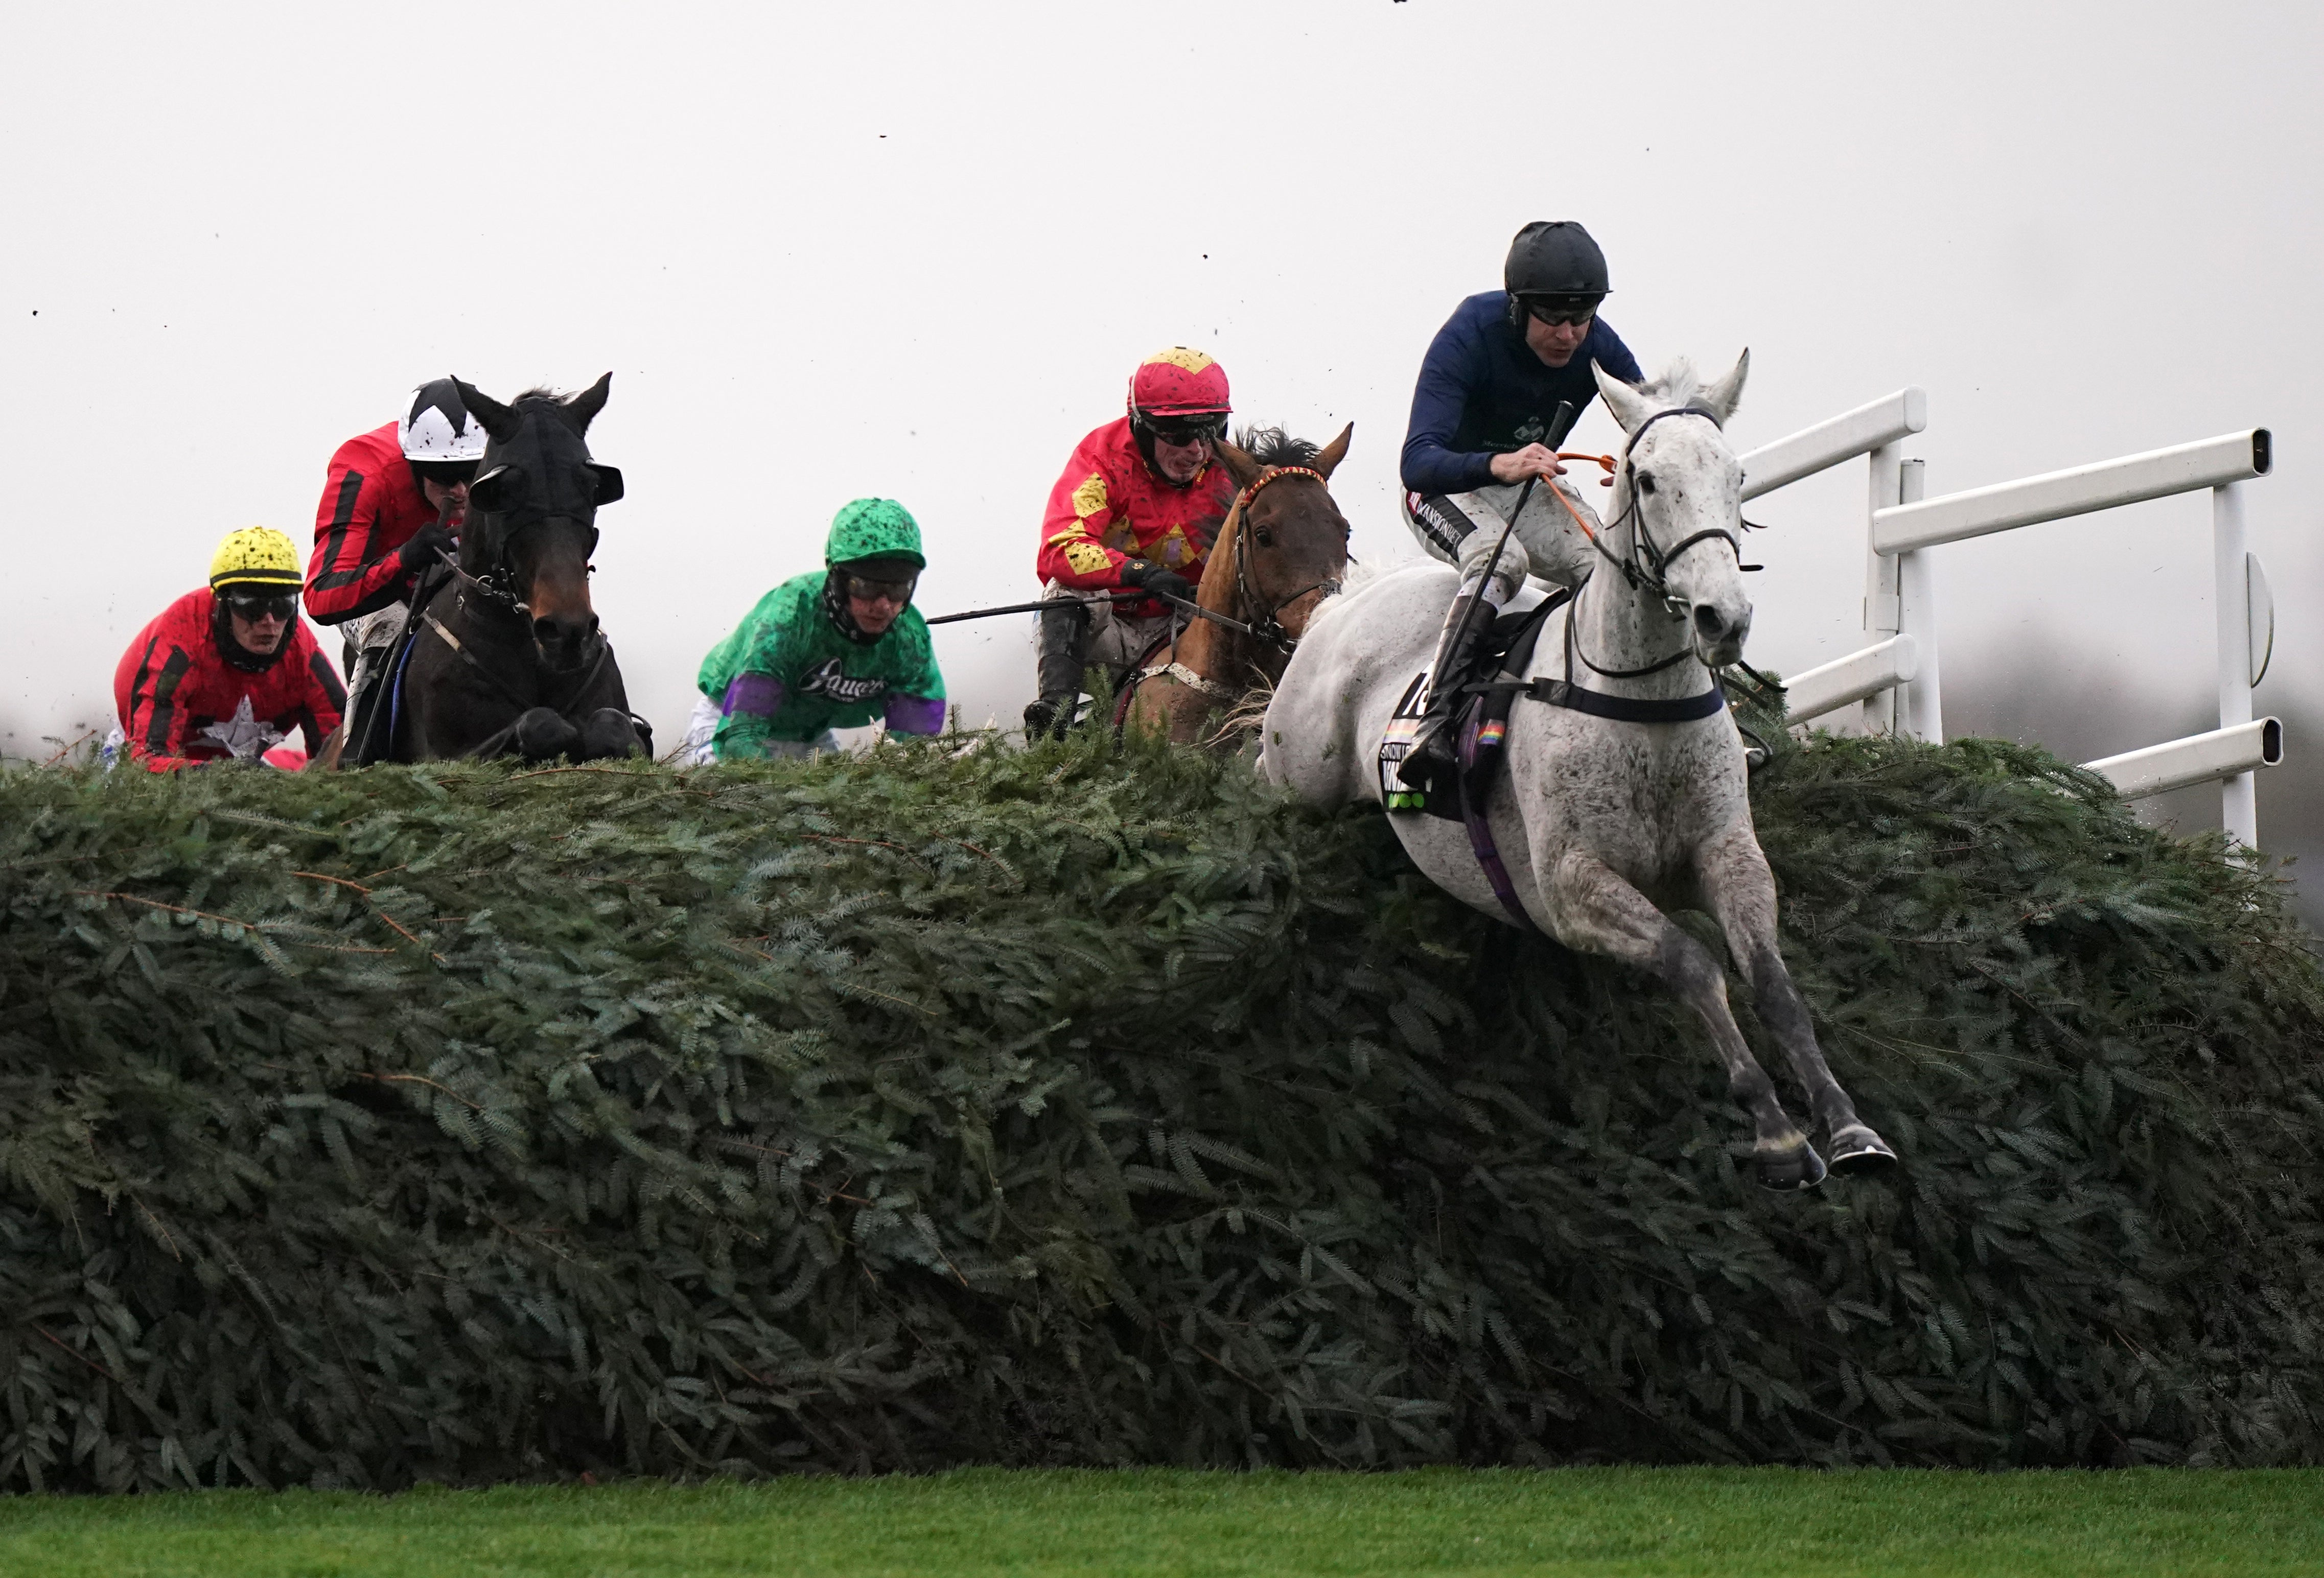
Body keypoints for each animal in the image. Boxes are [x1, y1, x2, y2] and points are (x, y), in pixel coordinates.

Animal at [367, 374, 650, 762]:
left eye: (593, 485)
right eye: (502, 491)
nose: (568, 630)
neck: (528, 653)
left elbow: (613, 726)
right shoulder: (446, 754)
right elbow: (541, 724)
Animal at [1264, 356, 1896, 1199]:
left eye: (1737, 476)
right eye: (1648, 479)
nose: (1723, 619)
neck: (1641, 704)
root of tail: (1340, 606)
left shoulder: (1729, 854)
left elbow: (1772, 981)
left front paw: (1851, 1126)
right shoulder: (1571, 886)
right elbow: (1693, 964)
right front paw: (1778, 1132)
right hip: (1294, 775)